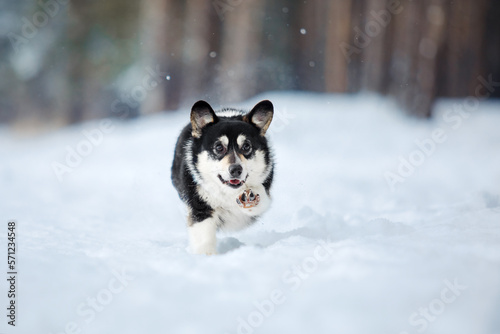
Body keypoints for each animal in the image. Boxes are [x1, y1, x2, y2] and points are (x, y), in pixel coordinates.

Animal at [171, 100, 274, 254]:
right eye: (219, 147)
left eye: (246, 146)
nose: (236, 170)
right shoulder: (200, 208)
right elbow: (204, 237)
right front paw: (207, 256)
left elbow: (259, 198)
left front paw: (250, 197)